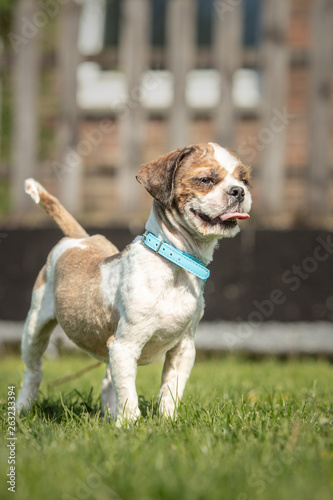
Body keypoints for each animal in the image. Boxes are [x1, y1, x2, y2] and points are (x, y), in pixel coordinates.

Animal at [14, 142, 249, 426]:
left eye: (244, 179)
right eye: (206, 180)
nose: (239, 191)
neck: (175, 262)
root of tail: (79, 238)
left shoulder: (183, 349)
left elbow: (171, 390)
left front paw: (167, 421)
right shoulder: (124, 347)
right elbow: (128, 391)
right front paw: (129, 424)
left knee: (107, 380)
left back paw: (108, 413)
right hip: (34, 327)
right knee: (33, 371)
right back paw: (22, 408)